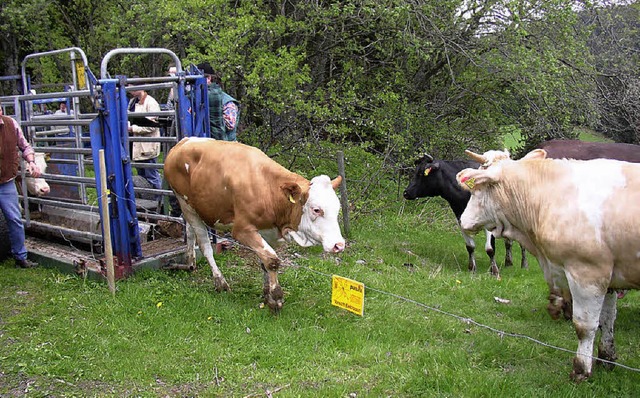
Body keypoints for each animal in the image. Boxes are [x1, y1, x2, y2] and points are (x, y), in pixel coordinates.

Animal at [165, 138, 344, 312]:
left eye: (337, 208)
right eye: (316, 209)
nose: (339, 245)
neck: (267, 189)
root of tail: (182, 142)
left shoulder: (268, 232)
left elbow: (265, 261)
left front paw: (267, 294)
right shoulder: (242, 230)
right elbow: (272, 260)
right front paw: (276, 298)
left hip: (193, 208)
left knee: (189, 231)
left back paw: (190, 262)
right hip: (185, 203)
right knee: (205, 245)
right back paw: (220, 282)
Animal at [456, 148, 640, 380]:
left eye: (475, 191)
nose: (462, 220)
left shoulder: (588, 272)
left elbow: (585, 325)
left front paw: (581, 370)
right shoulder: (609, 277)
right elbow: (607, 319)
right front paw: (606, 359)